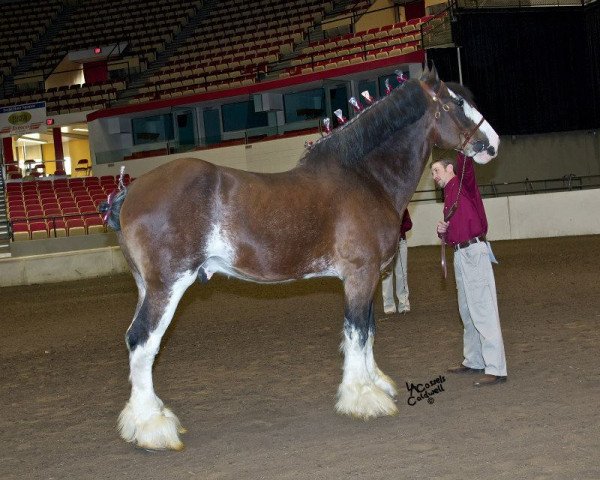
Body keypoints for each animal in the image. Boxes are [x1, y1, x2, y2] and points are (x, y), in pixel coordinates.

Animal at [108, 64, 496, 450]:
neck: (364, 177)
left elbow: (368, 330)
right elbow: (356, 331)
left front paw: (376, 384)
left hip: (146, 287)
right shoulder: (360, 274)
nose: (492, 144)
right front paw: (363, 398)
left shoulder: (369, 277)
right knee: (141, 342)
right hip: (168, 286)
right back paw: (153, 427)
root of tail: (130, 194)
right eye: (457, 102)